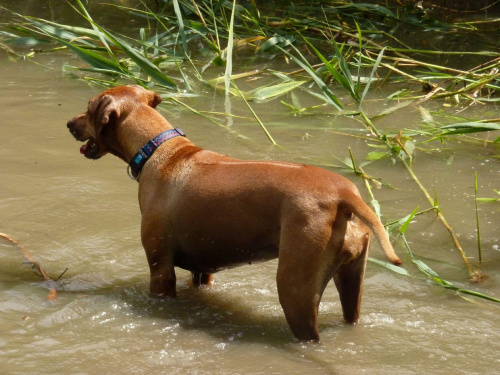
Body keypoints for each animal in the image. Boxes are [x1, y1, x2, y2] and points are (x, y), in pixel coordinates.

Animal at [67, 84, 402, 340]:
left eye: (88, 107)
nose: (69, 123)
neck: (157, 148)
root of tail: (345, 193)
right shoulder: (202, 269)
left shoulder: (161, 269)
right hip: (351, 279)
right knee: (351, 314)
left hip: (296, 288)